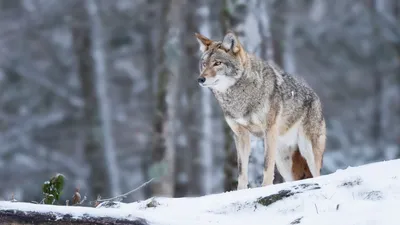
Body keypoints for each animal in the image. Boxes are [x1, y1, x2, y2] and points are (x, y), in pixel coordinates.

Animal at [195, 31, 326, 190]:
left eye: (217, 63)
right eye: (204, 64)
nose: (200, 79)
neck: (239, 98)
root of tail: (316, 97)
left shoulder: (268, 130)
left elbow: (266, 165)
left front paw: (265, 187)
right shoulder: (240, 135)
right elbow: (242, 170)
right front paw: (240, 191)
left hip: (308, 150)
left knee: (318, 174)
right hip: (283, 162)